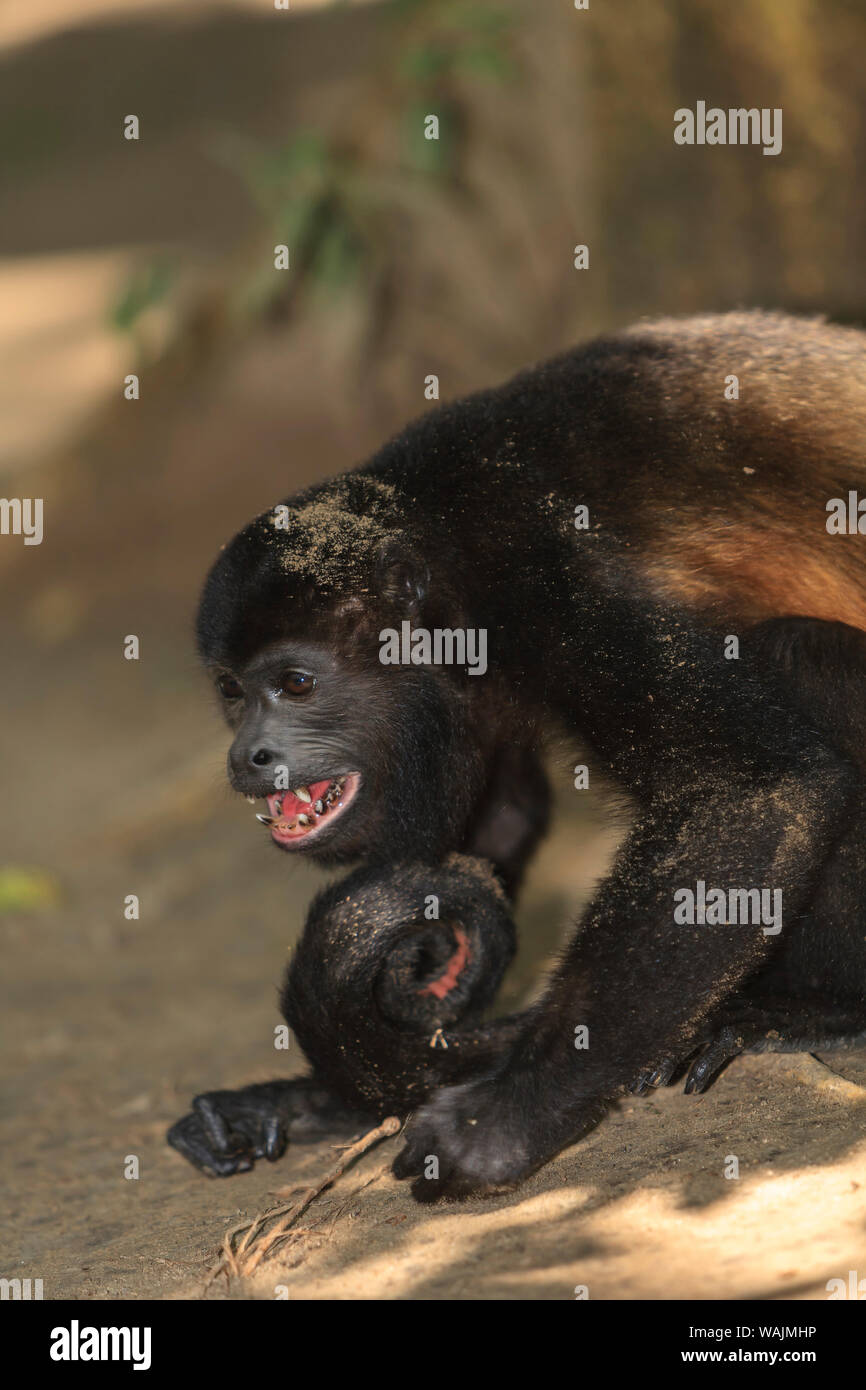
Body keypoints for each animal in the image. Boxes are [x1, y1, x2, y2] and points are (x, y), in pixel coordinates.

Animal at [166, 312, 866, 1195]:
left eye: (295, 682)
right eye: (230, 691)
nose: (246, 756)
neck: (443, 566)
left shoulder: (540, 578)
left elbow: (754, 783)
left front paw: (503, 1118)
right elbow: (498, 820)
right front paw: (320, 1099)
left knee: (792, 654)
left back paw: (820, 1011)